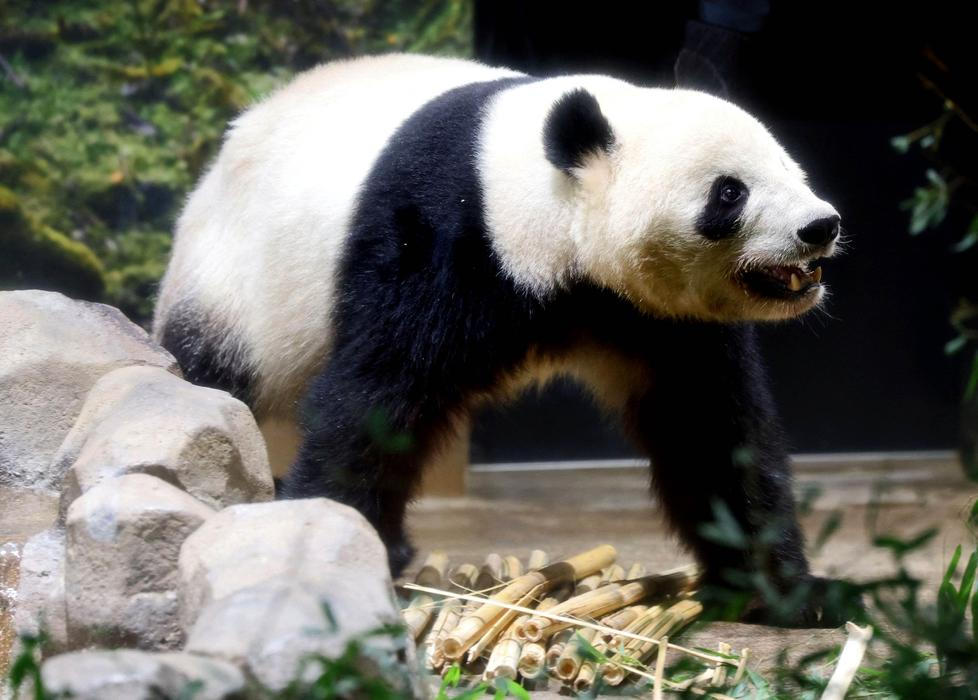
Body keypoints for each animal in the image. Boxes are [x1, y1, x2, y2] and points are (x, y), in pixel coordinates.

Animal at [154, 54, 848, 626]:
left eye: (789, 167)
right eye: (730, 192)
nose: (820, 226)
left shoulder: (659, 317)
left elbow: (710, 429)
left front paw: (788, 594)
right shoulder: (438, 236)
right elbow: (377, 397)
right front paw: (326, 538)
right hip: (235, 283)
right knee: (214, 374)